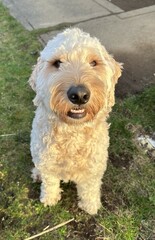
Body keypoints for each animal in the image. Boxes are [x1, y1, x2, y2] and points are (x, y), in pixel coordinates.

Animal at [28, 28, 121, 216]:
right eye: (57, 63)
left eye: (93, 62)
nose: (79, 95)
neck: (72, 132)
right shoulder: (47, 164)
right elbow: (50, 183)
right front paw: (49, 200)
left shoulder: (94, 168)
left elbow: (90, 188)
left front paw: (90, 206)